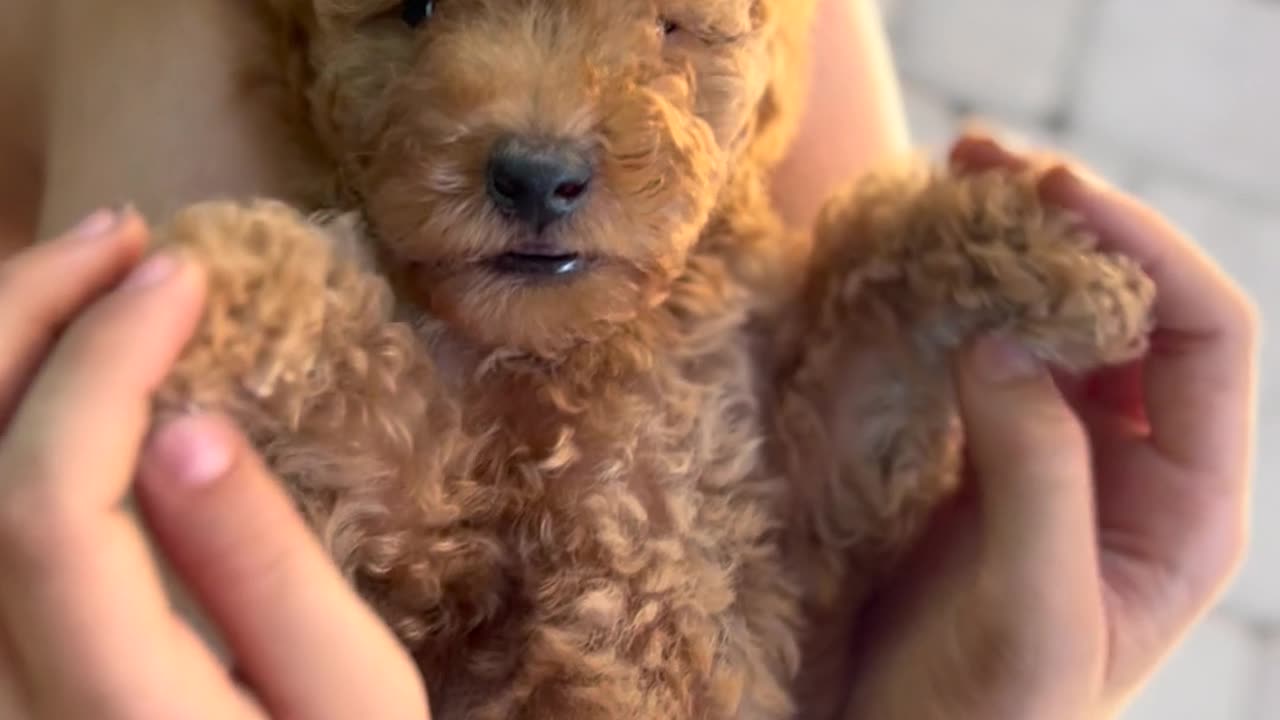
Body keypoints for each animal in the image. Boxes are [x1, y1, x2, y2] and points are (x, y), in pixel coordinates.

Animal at [152, 2, 1162, 712]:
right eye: (417, 7)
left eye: (668, 25)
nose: (536, 174)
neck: (568, 346)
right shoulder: (425, 546)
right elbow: (371, 405)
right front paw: (221, 281)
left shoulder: (793, 487)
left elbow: (877, 313)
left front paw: (1069, 267)